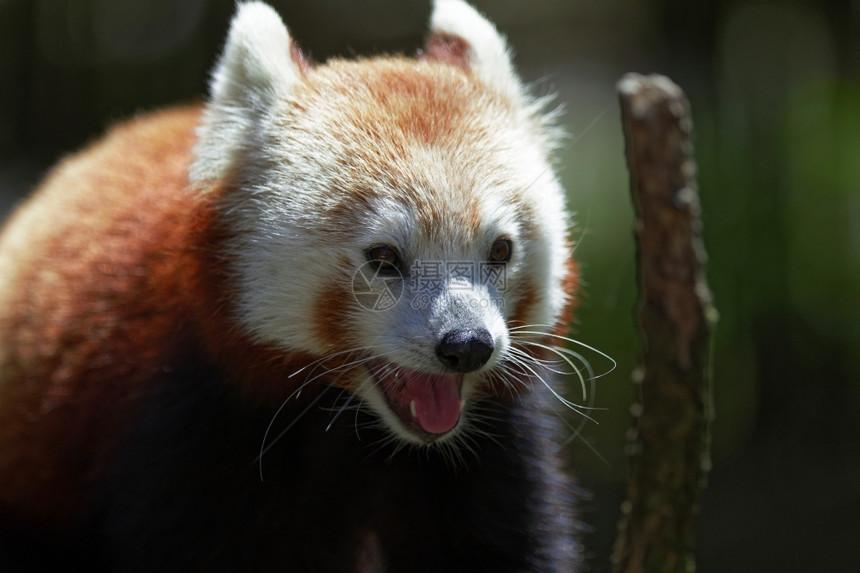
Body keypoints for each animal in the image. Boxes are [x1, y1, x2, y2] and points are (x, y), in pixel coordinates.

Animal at [0, 2, 584, 568]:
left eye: (500, 251)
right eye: (384, 258)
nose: (467, 345)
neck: (352, 420)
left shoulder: (490, 447)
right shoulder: (190, 420)